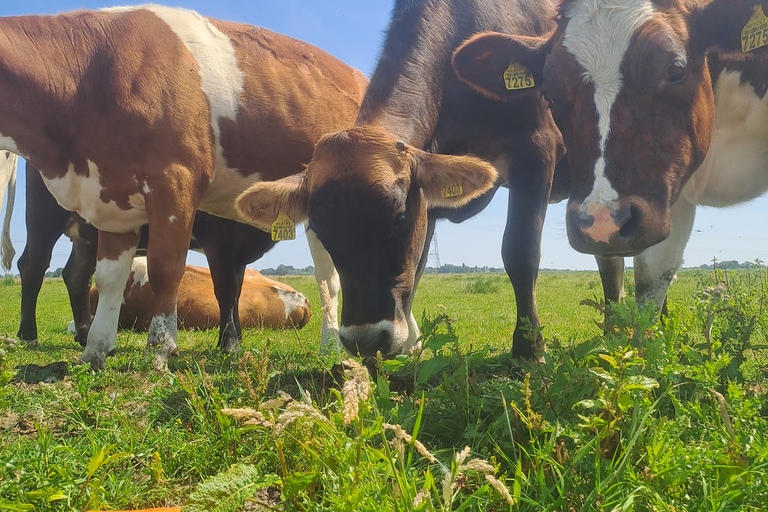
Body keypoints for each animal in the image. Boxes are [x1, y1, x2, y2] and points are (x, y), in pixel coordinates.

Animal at [14, 162, 276, 350]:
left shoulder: (238, 254)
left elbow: (237, 294)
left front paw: (237, 337)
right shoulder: (218, 241)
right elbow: (226, 291)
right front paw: (228, 342)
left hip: (88, 235)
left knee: (76, 275)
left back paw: (85, 333)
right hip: (43, 214)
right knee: (33, 264)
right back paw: (29, 336)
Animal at [237, 0, 572, 362]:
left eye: (398, 219)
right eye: (320, 230)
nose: (366, 339)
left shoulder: (538, 147)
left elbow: (521, 252)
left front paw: (529, 351)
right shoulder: (429, 195)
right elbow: (419, 264)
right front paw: (412, 345)